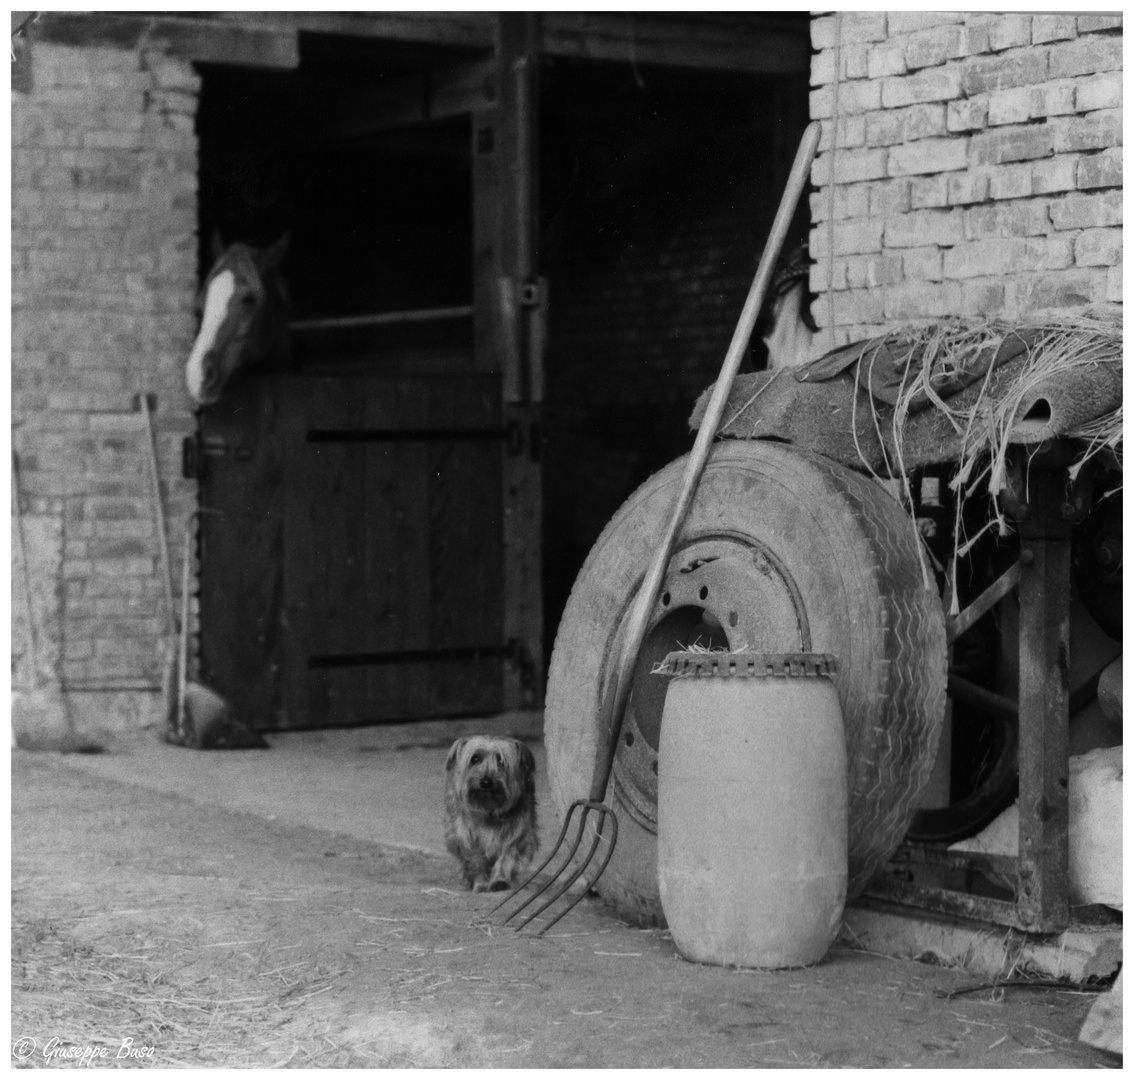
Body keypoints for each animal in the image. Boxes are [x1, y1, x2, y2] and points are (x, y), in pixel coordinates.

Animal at [444, 735, 537, 893]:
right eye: (475, 759)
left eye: (501, 761)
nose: (486, 781)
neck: (489, 808)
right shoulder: (467, 835)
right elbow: (476, 860)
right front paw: (480, 883)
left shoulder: (517, 833)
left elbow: (507, 857)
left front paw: (500, 880)